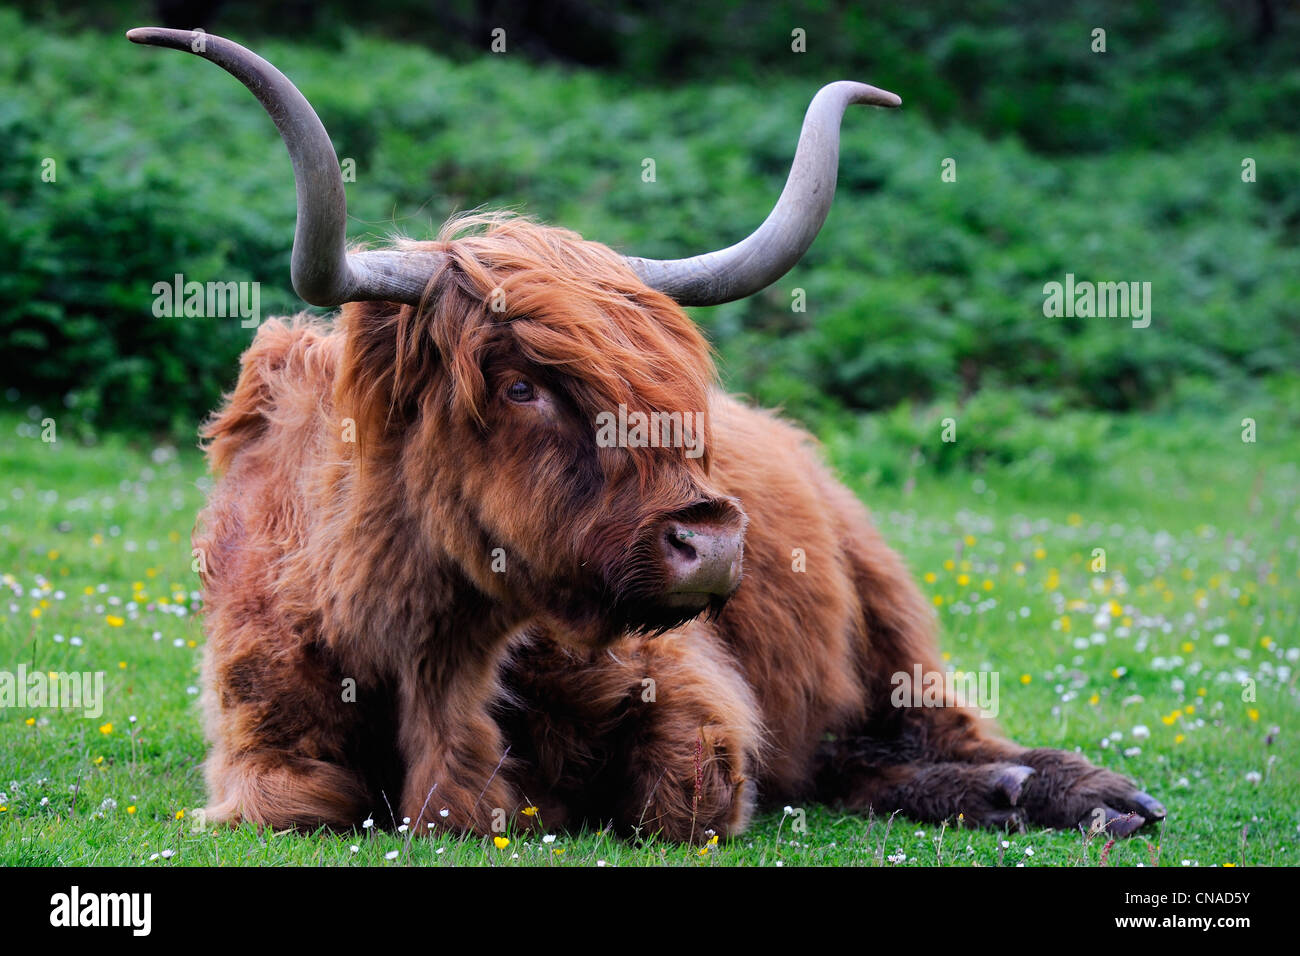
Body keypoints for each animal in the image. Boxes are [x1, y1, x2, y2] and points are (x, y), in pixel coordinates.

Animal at [129, 26, 1170, 842]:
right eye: (519, 385)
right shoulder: (261, 744)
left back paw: (1090, 796)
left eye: (673, 385)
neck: (429, 644)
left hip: (888, 616)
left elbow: (678, 799)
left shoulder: (692, 703)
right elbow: (300, 803)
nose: (710, 542)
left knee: (925, 728)